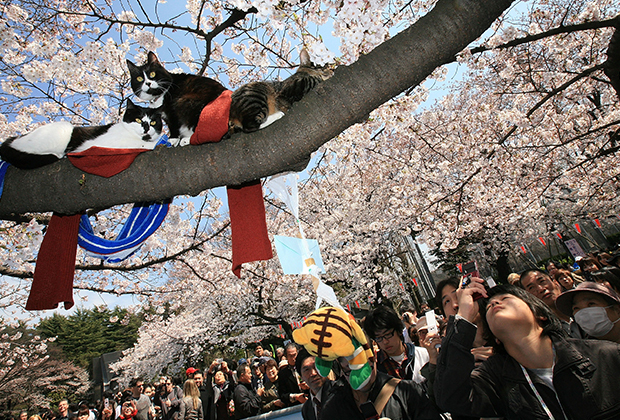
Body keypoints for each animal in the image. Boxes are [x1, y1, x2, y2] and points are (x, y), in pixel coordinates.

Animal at [0, 99, 163, 169]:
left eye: (154, 122)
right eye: (138, 119)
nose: (146, 127)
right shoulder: (108, 143)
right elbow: (140, 144)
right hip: (62, 130)